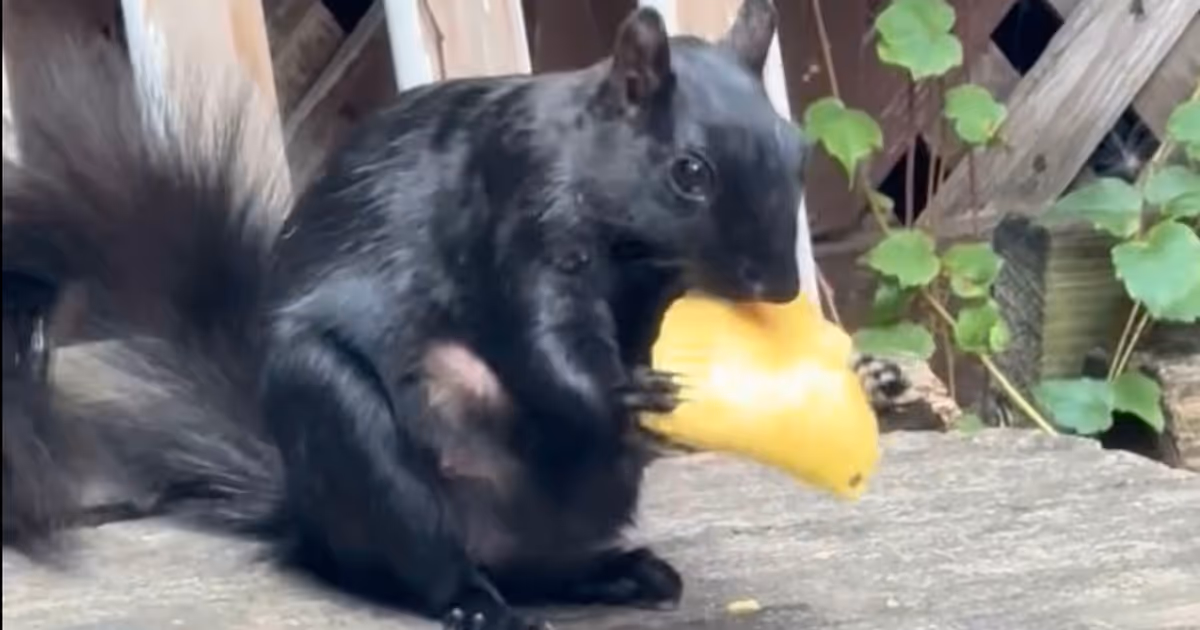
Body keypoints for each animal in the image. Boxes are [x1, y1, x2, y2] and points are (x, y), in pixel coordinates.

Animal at [2, 2, 908, 628]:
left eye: (796, 149)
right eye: (689, 172)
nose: (779, 286)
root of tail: (306, 515)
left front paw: (873, 373)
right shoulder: (516, 209)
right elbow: (542, 344)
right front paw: (626, 394)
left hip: (581, 504)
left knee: (537, 561)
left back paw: (611, 571)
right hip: (355, 438)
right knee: (427, 564)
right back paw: (476, 601)